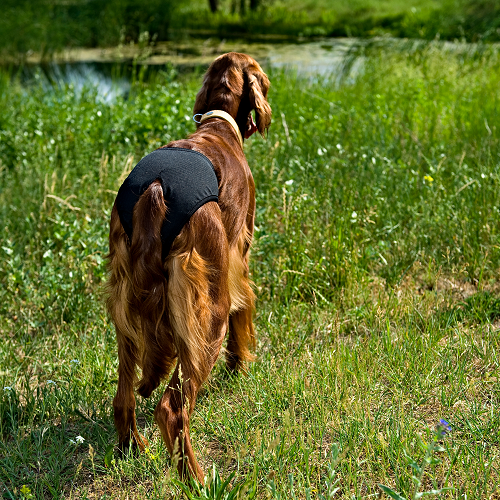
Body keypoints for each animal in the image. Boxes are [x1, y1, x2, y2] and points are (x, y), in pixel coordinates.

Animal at [104, 52, 270, 482]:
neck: (218, 125)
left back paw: (131, 448)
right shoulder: (238, 257)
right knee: (172, 409)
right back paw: (196, 479)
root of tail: (155, 190)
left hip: (126, 305)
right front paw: (240, 367)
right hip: (208, 308)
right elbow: (244, 311)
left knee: (123, 395)